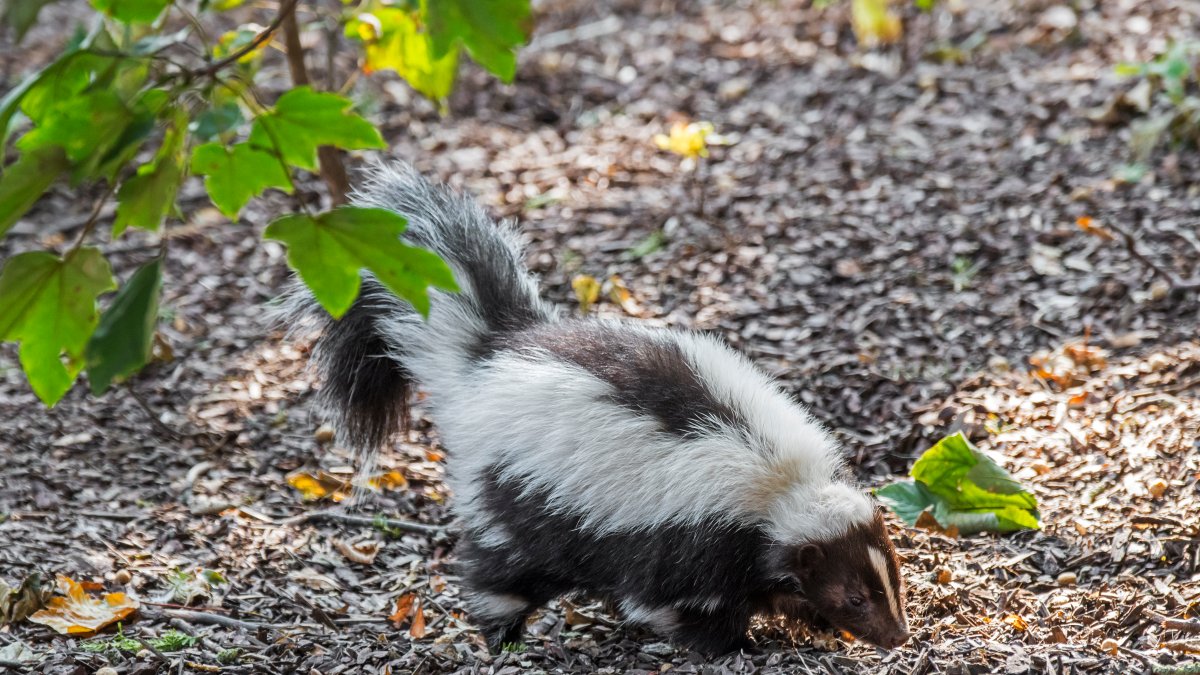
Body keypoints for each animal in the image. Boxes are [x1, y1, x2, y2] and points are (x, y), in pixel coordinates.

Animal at [283, 163, 907, 653]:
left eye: (892, 577)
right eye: (854, 597)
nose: (898, 634)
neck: (782, 490)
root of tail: (492, 354)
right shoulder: (689, 541)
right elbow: (675, 601)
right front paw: (729, 643)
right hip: (517, 493)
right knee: (501, 566)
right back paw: (502, 632)